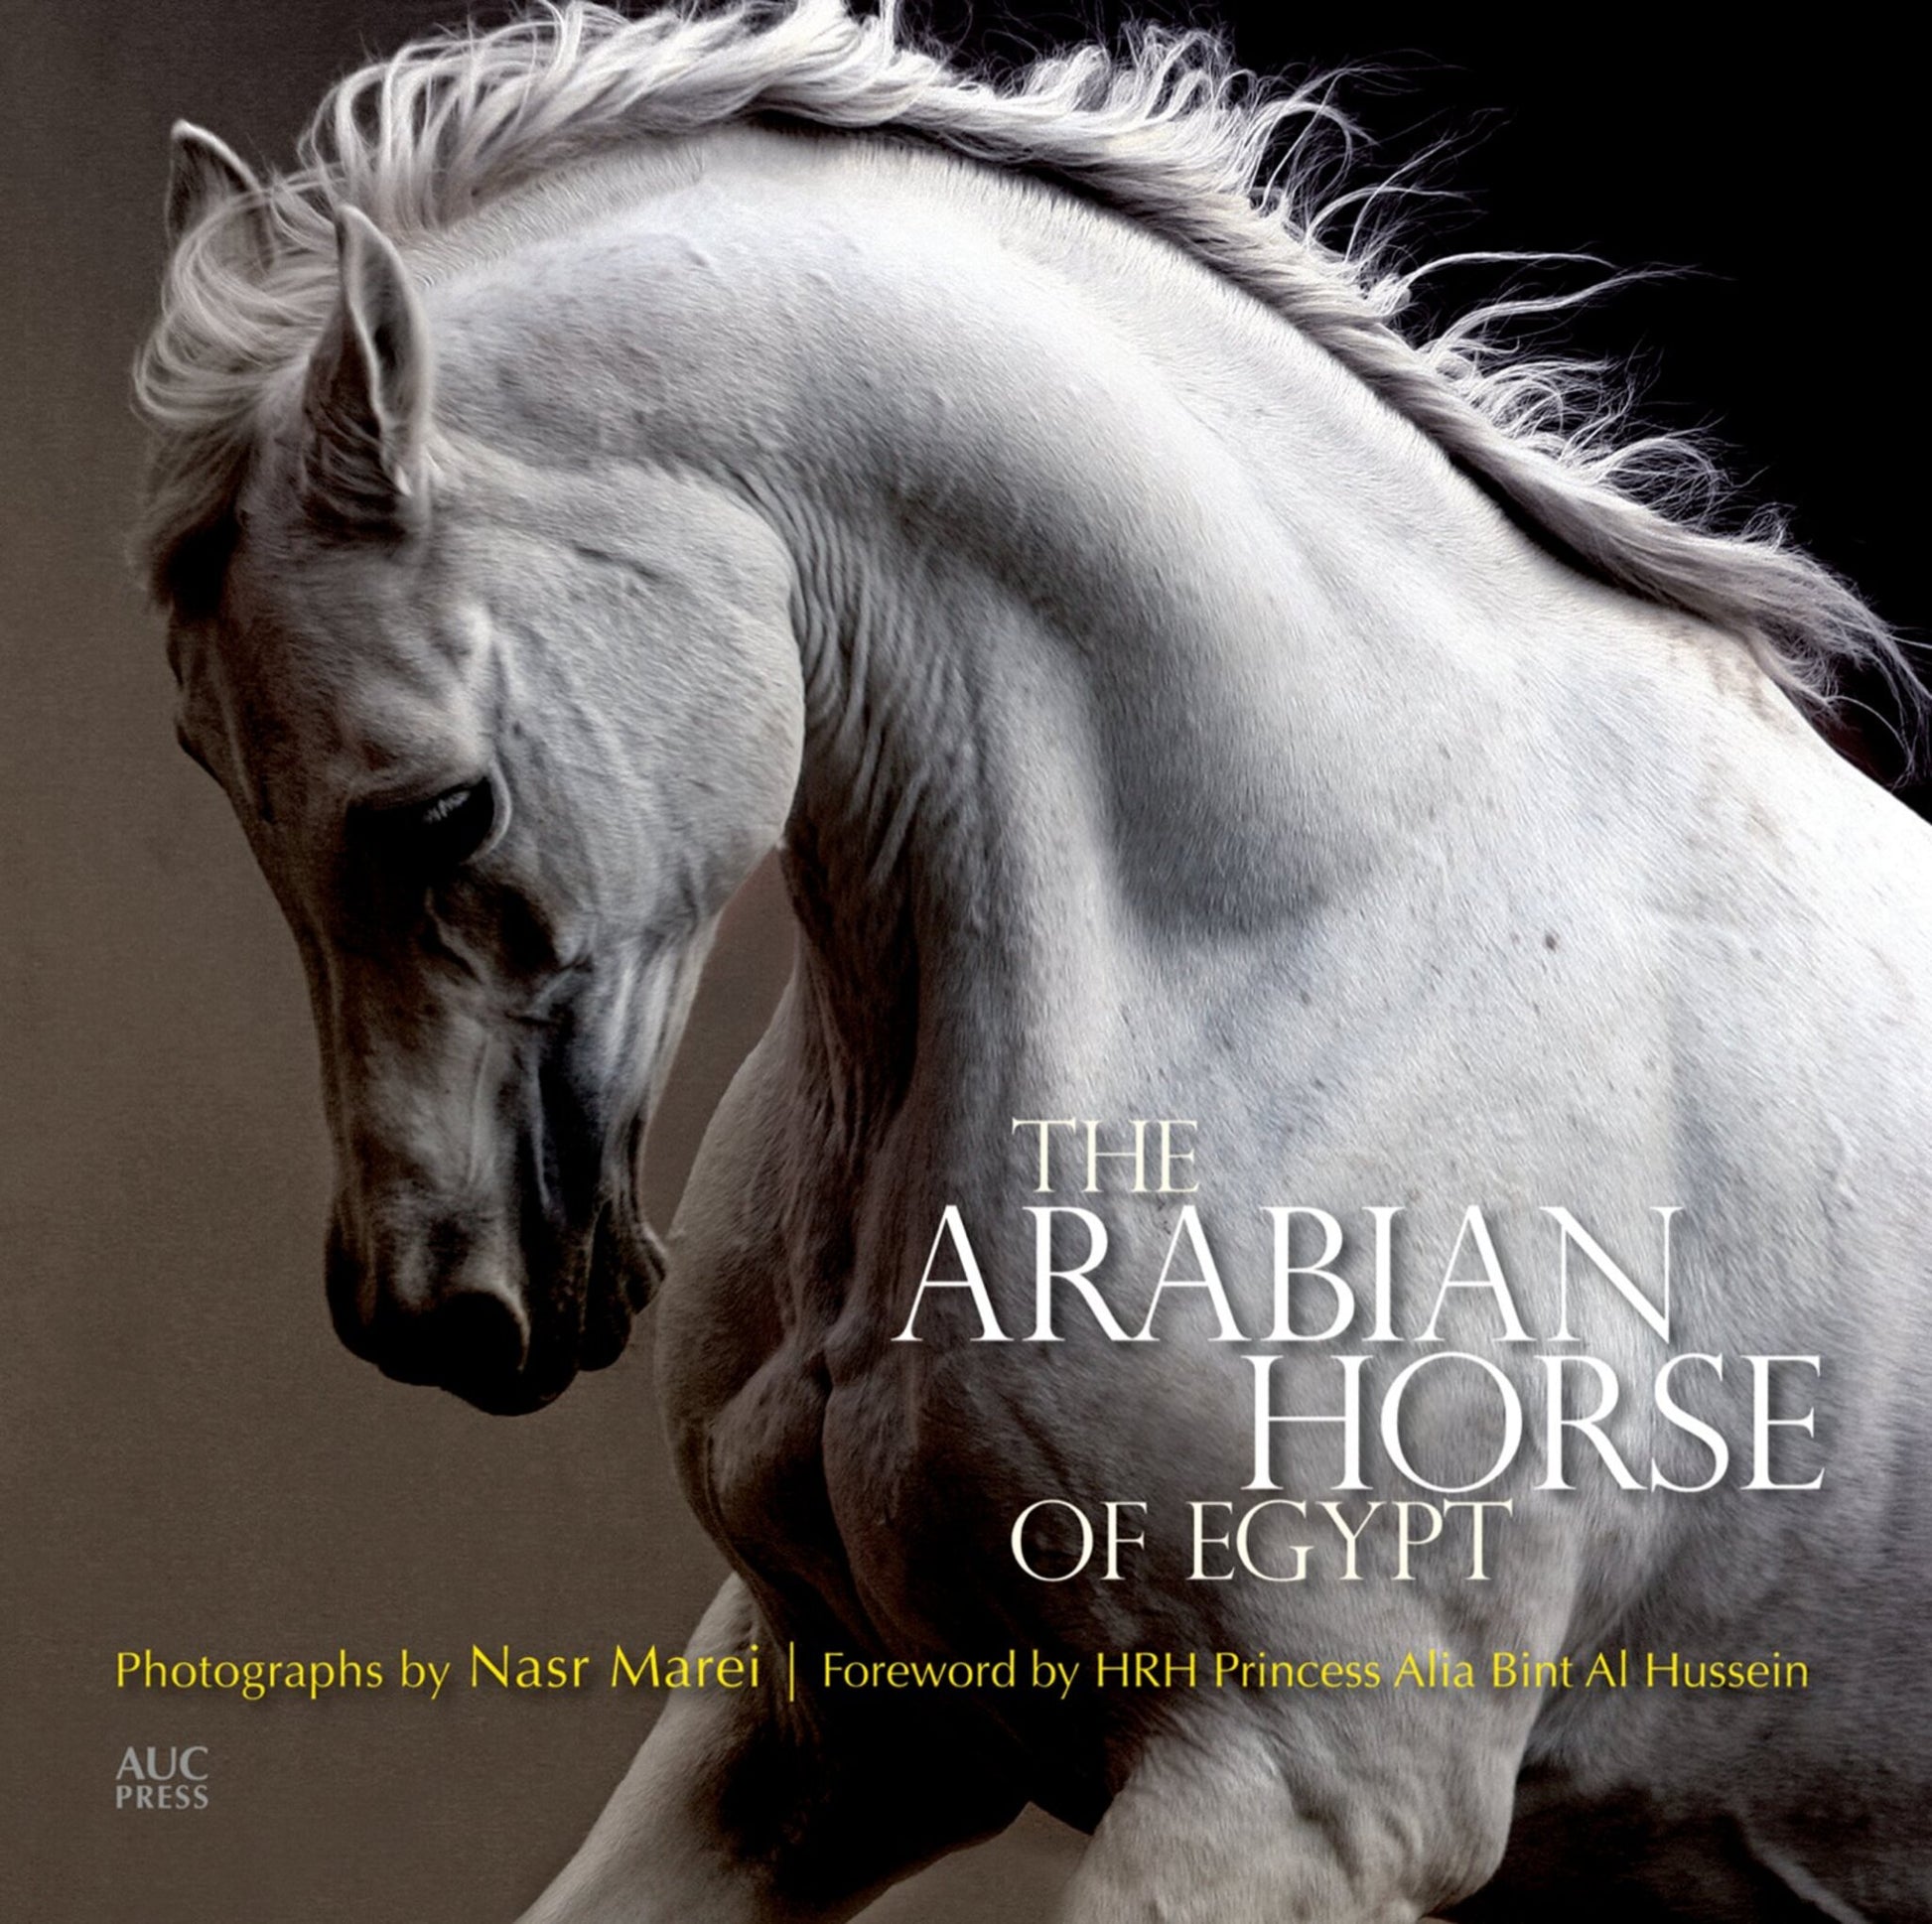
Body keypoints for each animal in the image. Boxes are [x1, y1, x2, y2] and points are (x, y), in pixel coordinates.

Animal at [135, 3, 1932, 1918]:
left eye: (443, 807)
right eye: (208, 766)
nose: (433, 1306)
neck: (1311, 915)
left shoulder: (1303, 1790)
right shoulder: (828, 1720)